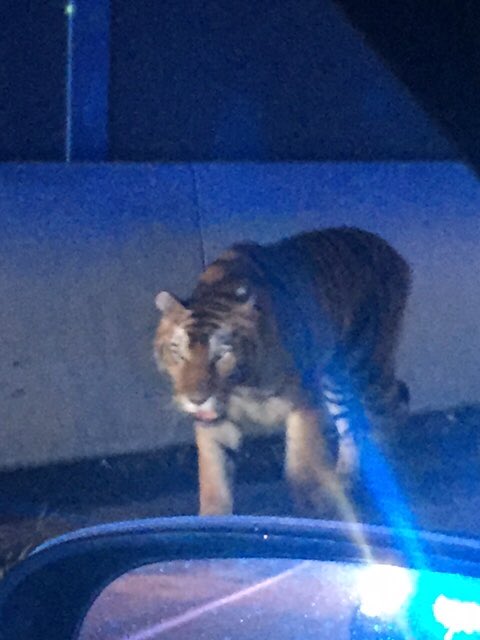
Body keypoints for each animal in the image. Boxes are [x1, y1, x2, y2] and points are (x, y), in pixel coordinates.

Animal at [153, 226, 411, 517]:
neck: (244, 386)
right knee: (350, 427)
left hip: (367, 367)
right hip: (336, 383)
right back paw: (346, 480)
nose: (196, 399)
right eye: (178, 353)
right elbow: (214, 479)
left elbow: (300, 468)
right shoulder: (215, 424)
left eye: (221, 355)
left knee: (390, 410)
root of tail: (389, 249)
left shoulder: (303, 402)